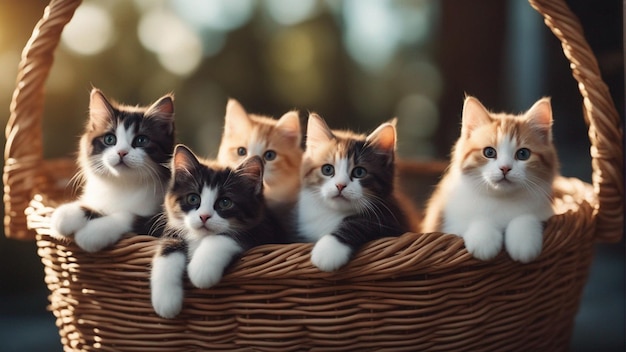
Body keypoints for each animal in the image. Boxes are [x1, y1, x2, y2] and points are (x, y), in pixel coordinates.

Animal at [49, 88, 174, 253]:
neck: (123, 184)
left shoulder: (161, 221)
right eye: (110, 139)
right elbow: (98, 207)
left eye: (141, 140)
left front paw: (93, 231)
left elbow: (130, 216)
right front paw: (69, 213)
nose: (121, 152)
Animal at [150, 144, 286, 318]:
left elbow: (225, 236)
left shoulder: (263, 230)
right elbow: (167, 247)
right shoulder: (173, 231)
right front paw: (166, 300)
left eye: (225, 202)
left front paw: (201, 270)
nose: (204, 216)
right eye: (193, 198)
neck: (200, 238)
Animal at [294, 114, 412, 270]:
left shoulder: (393, 221)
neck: (333, 214)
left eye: (359, 172)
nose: (340, 185)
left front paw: (328, 250)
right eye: (327, 169)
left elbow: (360, 223)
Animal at [420, 95, 556, 262]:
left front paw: (524, 239)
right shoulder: (448, 225)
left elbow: (526, 217)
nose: (505, 168)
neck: (502, 200)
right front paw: (483, 239)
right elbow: (474, 221)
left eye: (523, 154)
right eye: (489, 152)